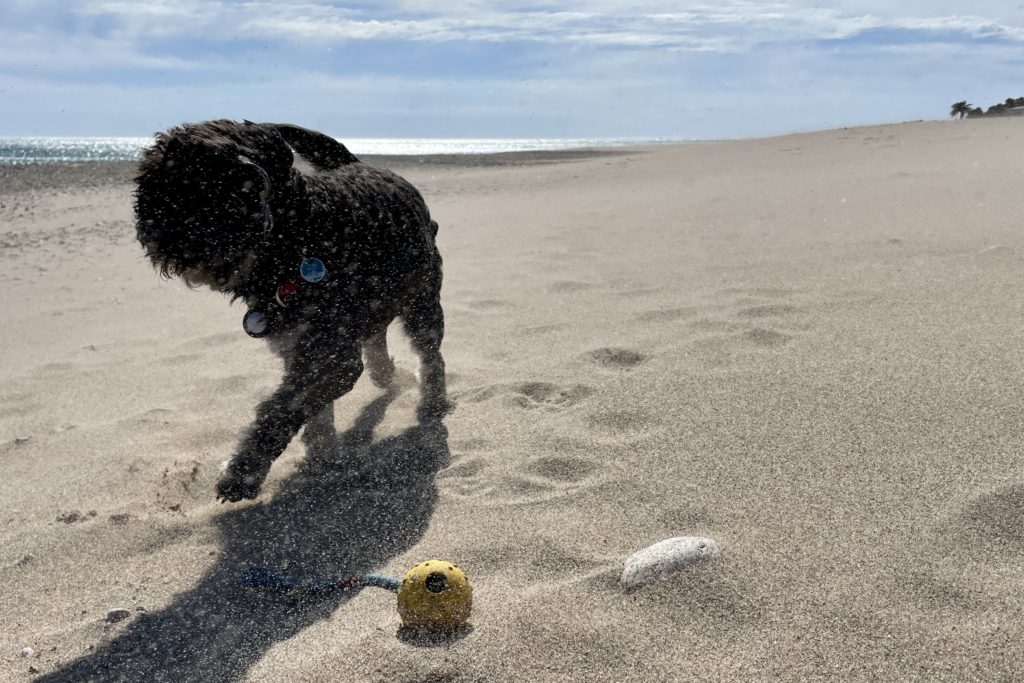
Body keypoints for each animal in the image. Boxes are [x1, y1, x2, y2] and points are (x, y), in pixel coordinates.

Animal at [136, 118, 452, 501]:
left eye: (192, 189)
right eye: (150, 189)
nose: (151, 232)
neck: (300, 237)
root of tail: (362, 164)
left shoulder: (334, 358)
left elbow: (282, 410)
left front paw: (244, 471)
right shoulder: (296, 346)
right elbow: (312, 410)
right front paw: (322, 452)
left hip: (423, 300)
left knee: (429, 352)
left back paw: (432, 401)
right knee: (377, 335)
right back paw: (384, 374)